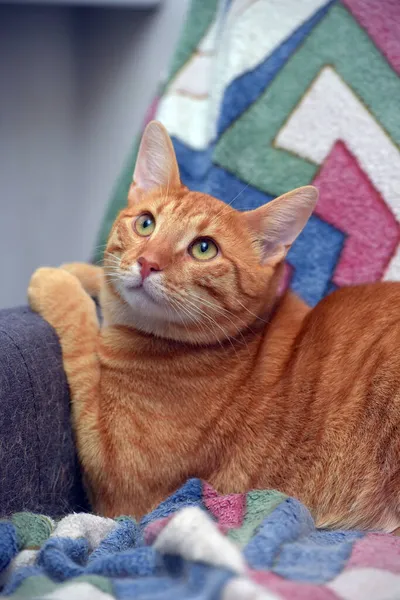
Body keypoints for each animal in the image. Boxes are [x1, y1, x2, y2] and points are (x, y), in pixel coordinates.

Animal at [29, 120, 400, 528]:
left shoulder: (117, 474)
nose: (146, 262)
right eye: (146, 223)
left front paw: (56, 282)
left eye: (203, 248)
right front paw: (83, 272)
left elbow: (80, 339)